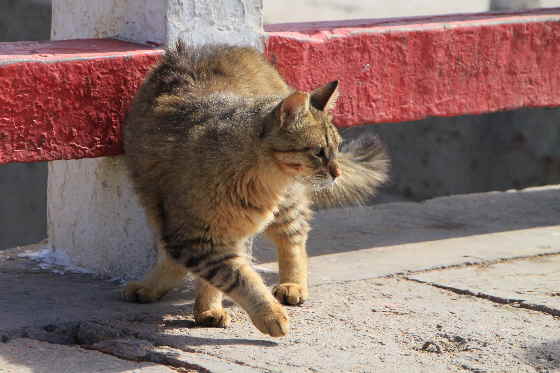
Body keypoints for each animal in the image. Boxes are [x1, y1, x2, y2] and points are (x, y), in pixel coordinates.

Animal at [122, 41, 388, 338]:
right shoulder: (197, 235)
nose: (337, 173)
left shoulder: (216, 234)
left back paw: (293, 285)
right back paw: (154, 287)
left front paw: (216, 309)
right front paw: (264, 313)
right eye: (319, 152)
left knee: (294, 239)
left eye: (337, 148)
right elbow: (239, 277)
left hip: (286, 205)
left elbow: (235, 275)